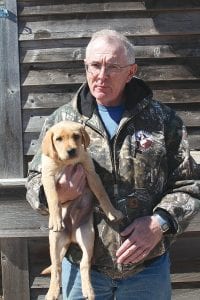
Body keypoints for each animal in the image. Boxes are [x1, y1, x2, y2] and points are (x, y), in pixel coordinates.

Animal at [41, 120, 123, 298]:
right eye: (58, 139)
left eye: (76, 136)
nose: (71, 150)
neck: (66, 163)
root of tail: (71, 237)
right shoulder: (48, 177)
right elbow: (53, 199)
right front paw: (56, 219)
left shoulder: (91, 173)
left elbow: (102, 194)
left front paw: (112, 212)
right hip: (54, 241)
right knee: (56, 267)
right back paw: (52, 292)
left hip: (87, 237)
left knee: (84, 264)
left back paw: (89, 291)